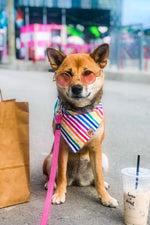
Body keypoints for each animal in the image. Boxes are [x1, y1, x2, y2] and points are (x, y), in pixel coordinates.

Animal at [43, 43, 118, 207]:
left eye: (88, 73)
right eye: (67, 74)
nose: (76, 88)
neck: (79, 111)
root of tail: (78, 180)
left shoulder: (96, 148)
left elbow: (99, 178)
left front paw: (106, 198)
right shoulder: (62, 147)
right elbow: (61, 175)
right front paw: (59, 194)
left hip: (103, 158)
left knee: (95, 179)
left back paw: (103, 185)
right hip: (50, 159)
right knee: (53, 176)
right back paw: (51, 184)